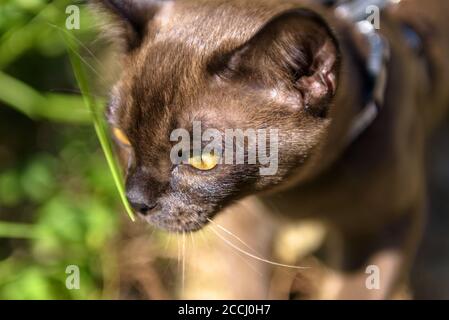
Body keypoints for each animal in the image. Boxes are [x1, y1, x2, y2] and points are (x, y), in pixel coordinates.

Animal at [93, 0, 448, 298]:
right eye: (122, 137)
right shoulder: (247, 224)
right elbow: (244, 288)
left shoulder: (383, 229)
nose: (135, 201)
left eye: (202, 159)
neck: (298, 194)